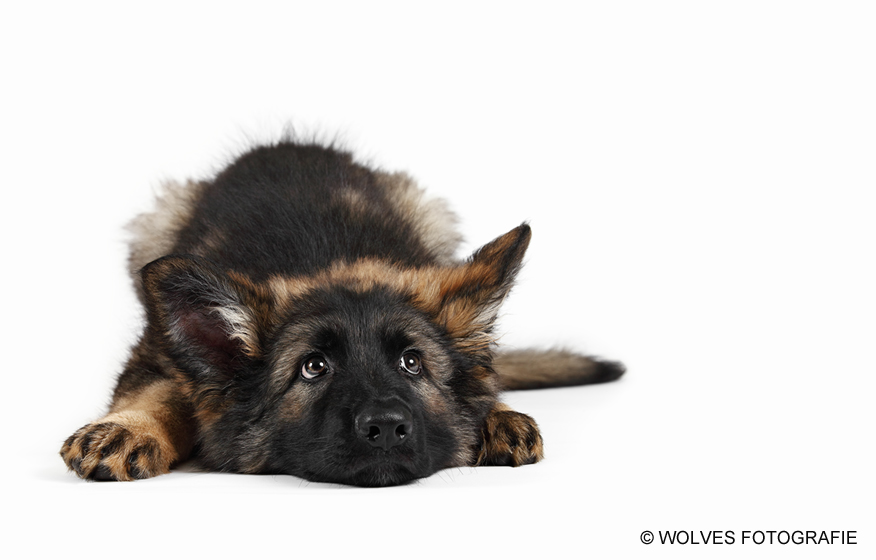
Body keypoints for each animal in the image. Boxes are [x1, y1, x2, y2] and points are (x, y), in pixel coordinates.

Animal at [60, 139, 624, 487]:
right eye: (313, 367)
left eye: (412, 363)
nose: (388, 428)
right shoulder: (156, 351)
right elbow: (155, 391)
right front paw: (129, 427)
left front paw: (496, 415)